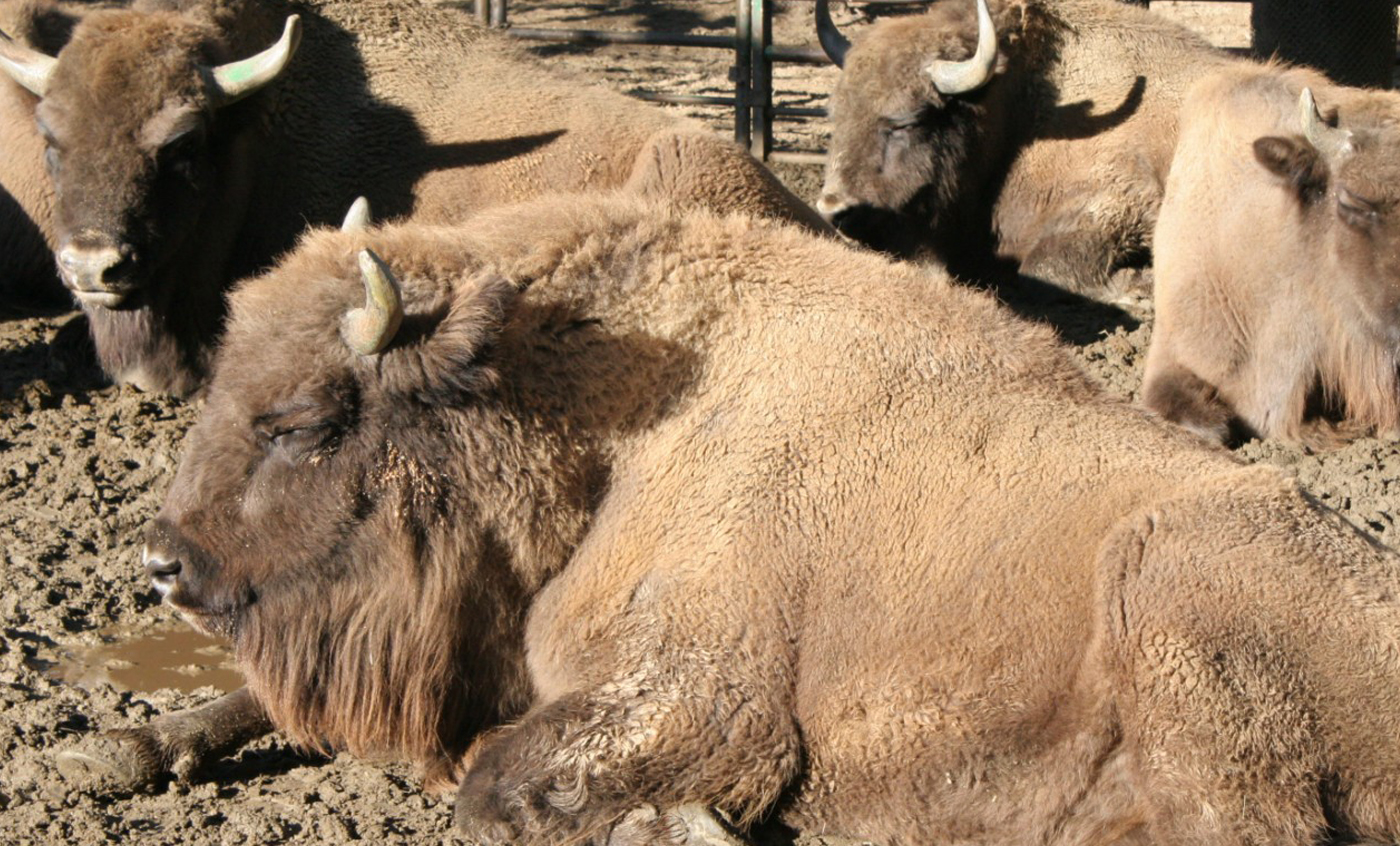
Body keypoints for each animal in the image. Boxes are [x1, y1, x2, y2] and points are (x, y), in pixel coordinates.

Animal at [71, 193, 1400, 846]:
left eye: (300, 420)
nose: (159, 563)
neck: (611, 417)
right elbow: (250, 703)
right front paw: (122, 747)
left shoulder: (705, 694)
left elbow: (496, 783)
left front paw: (675, 824)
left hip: (1165, 589)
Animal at [817, 0, 1232, 294]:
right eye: (836, 113)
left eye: (906, 120)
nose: (834, 208)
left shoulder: (1122, 201)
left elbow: (1043, 268)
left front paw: (1138, 286)